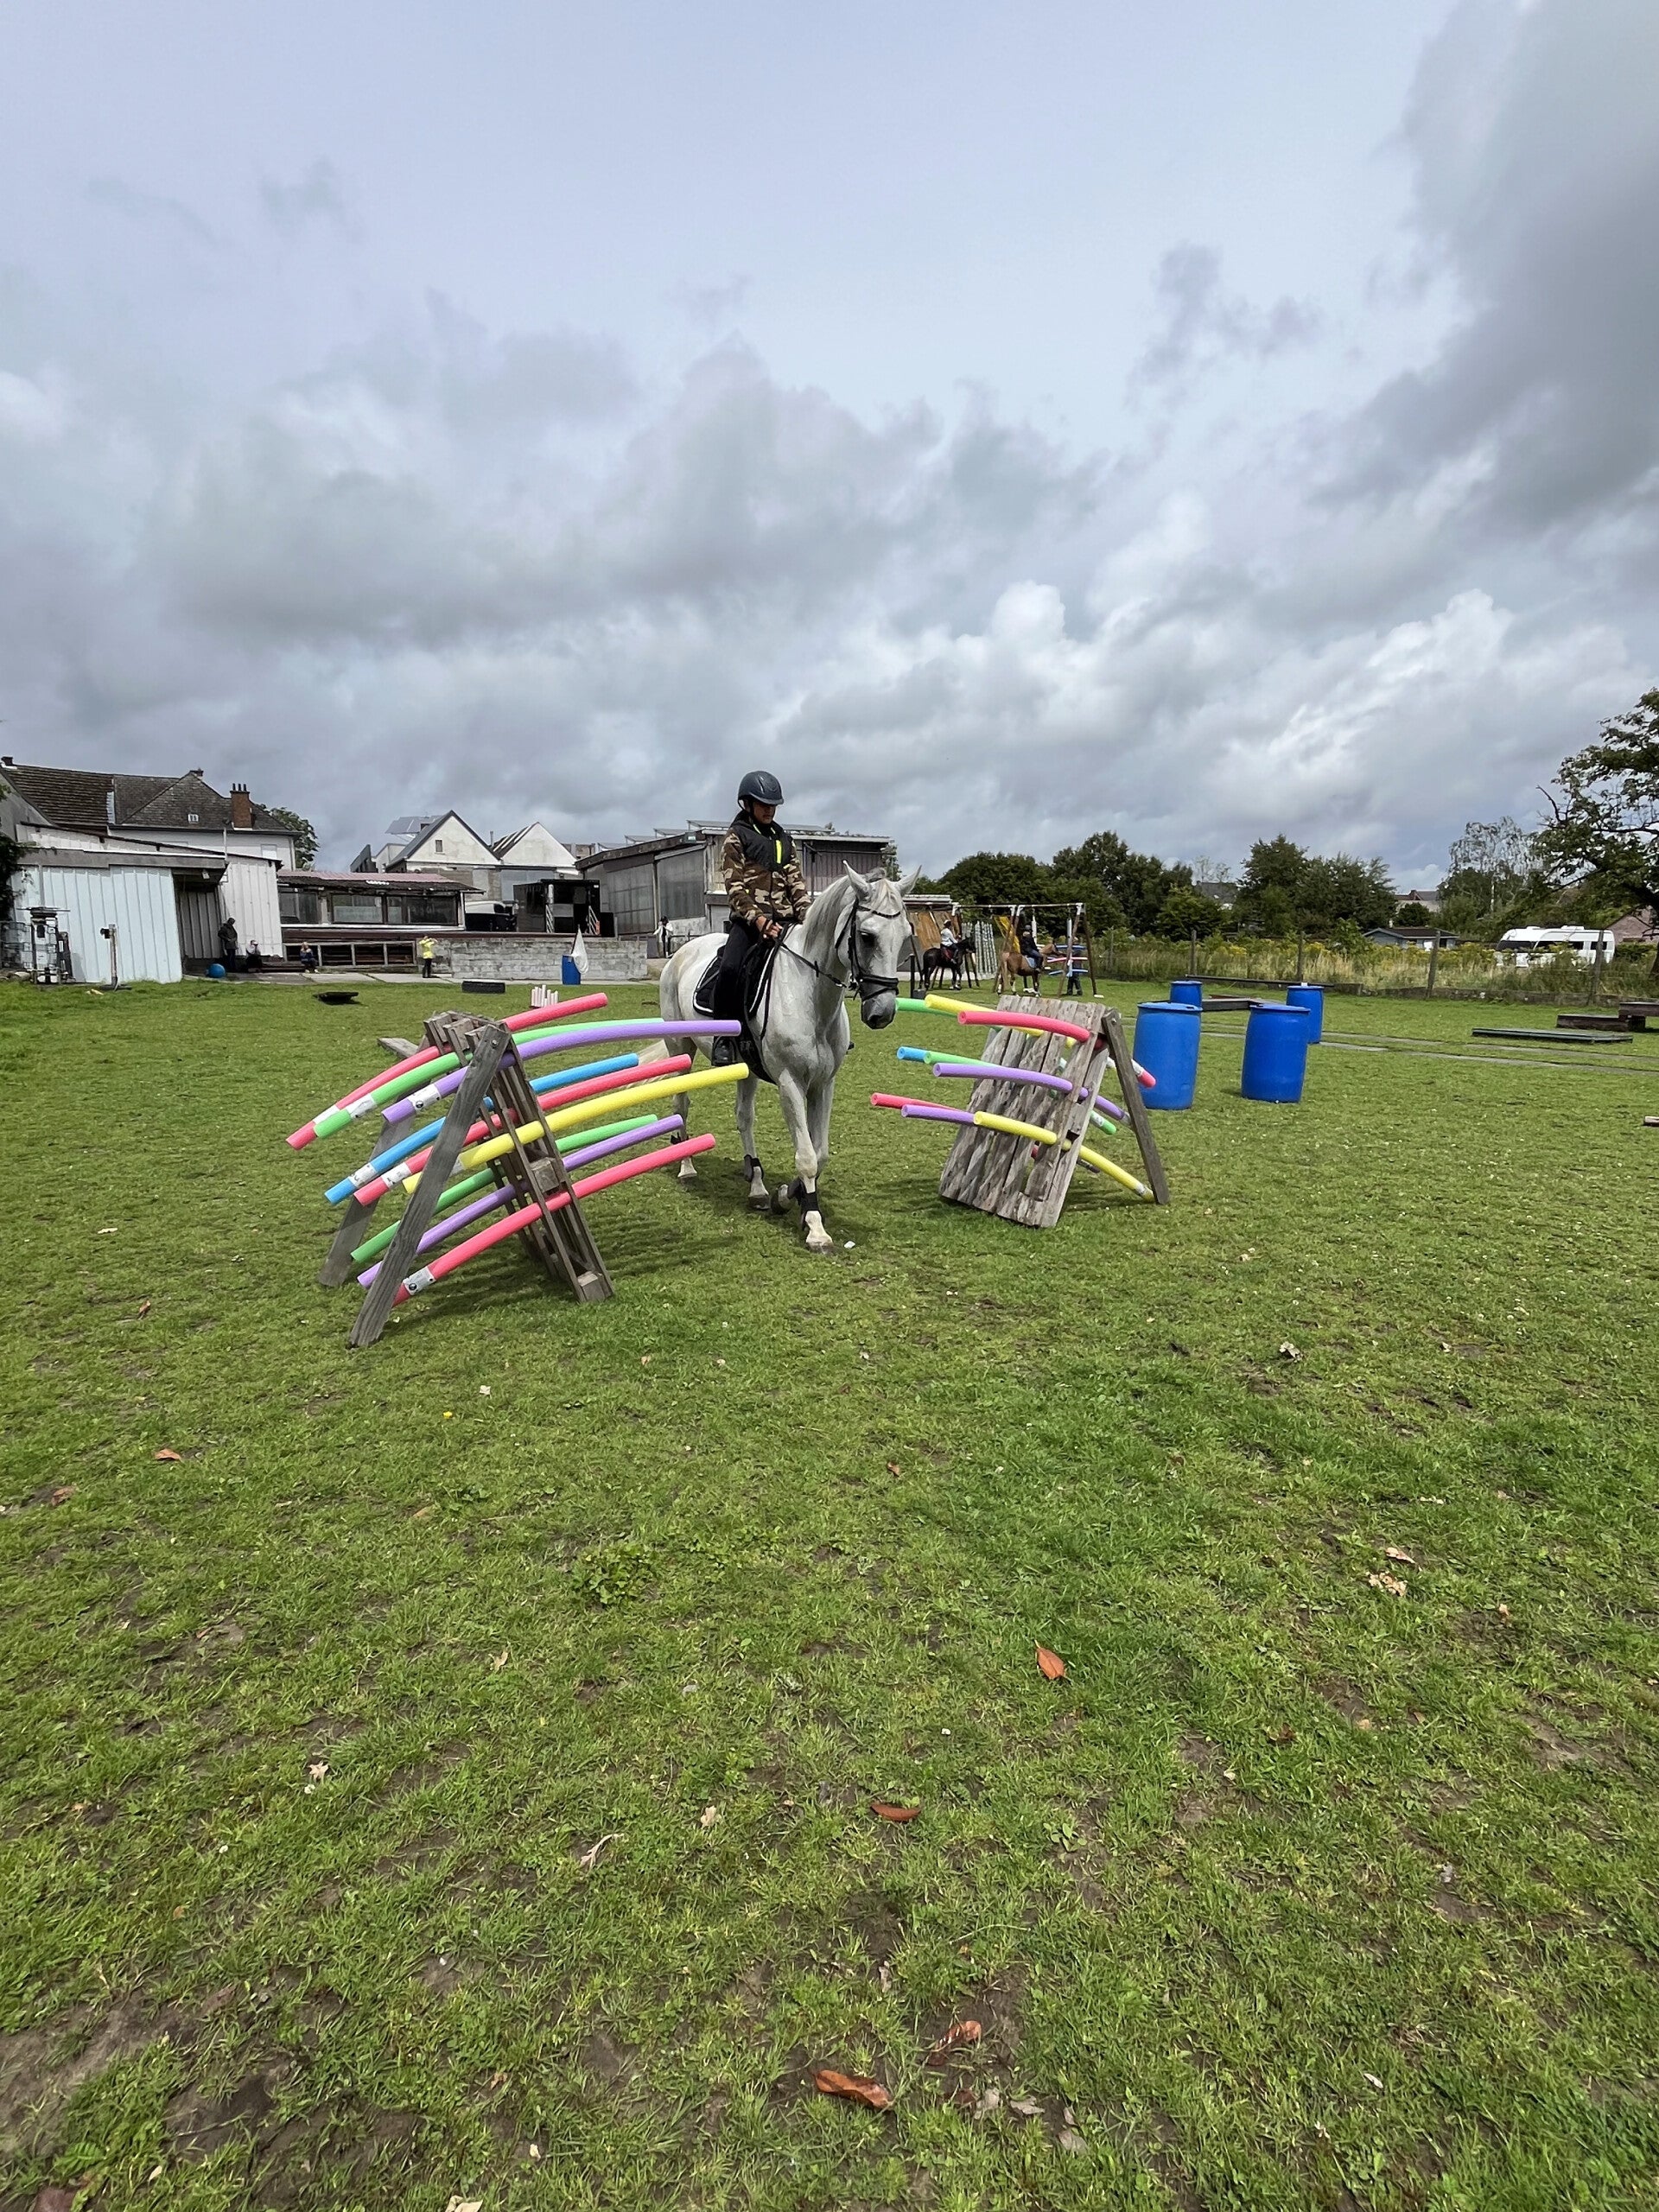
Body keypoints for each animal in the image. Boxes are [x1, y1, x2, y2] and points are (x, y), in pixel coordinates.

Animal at [659, 867, 919, 1253]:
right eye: (867, 937)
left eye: (904, 936)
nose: (882, 1013)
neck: (810, 995)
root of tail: (682, 952)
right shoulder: (790, 1083)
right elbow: (807, 1157)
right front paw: (815, 1228)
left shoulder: (824, 1084)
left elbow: (820, 1152)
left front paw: (787, 1196)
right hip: (681, 1050)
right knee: (682, 1105)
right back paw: (687, 1168)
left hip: (746, 1069)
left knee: (744, 1117)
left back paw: (757, 1186)